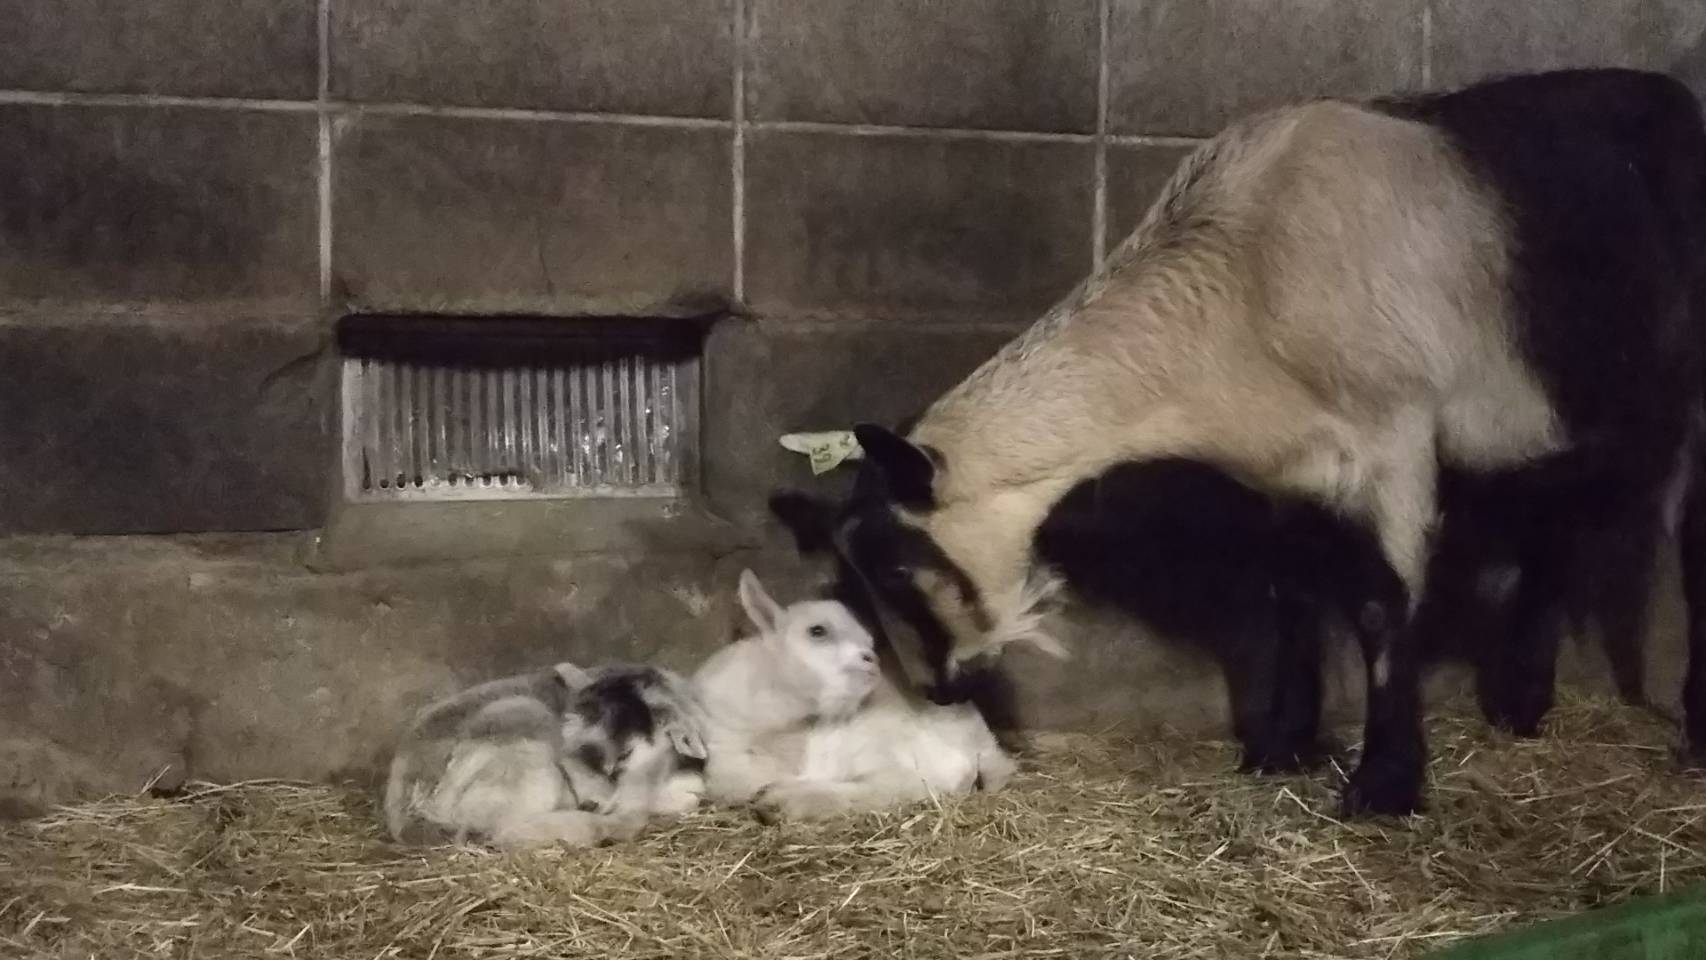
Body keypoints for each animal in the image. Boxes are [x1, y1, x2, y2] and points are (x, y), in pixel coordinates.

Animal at [793, 68, 1706, 816]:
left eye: (901, 570)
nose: (942, 690)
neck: (1242, 284)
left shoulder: (1396, 441)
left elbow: (1382, 609)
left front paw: (1384, 785)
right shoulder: (1288, 468)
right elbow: (1288, 595)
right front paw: (1281, 745)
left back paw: (1689, 733)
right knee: (1560, 522)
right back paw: (1521, 703)